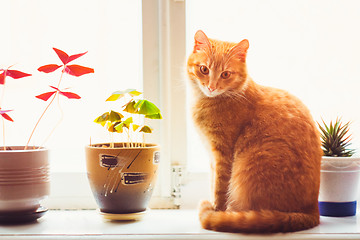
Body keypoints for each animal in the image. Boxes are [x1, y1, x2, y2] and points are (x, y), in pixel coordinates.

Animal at [187, 30, 322, 232]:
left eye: (225, 74)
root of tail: (313, 211)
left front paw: (216, 210)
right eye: (204, 69)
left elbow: (219, 187)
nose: (211, 87)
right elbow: (212, 183)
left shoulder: (223, 155)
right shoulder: (212, 157)